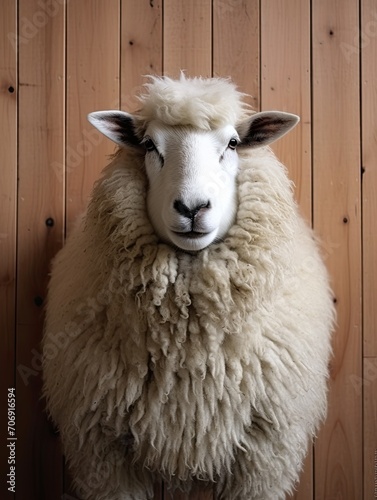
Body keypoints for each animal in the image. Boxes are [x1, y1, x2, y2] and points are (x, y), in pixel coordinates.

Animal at [42, 75, 334, 500]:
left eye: (233, 144)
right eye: (149, 145)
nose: (192, 208)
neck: (190, 348)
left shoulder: (264, 455)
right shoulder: (104, 451)